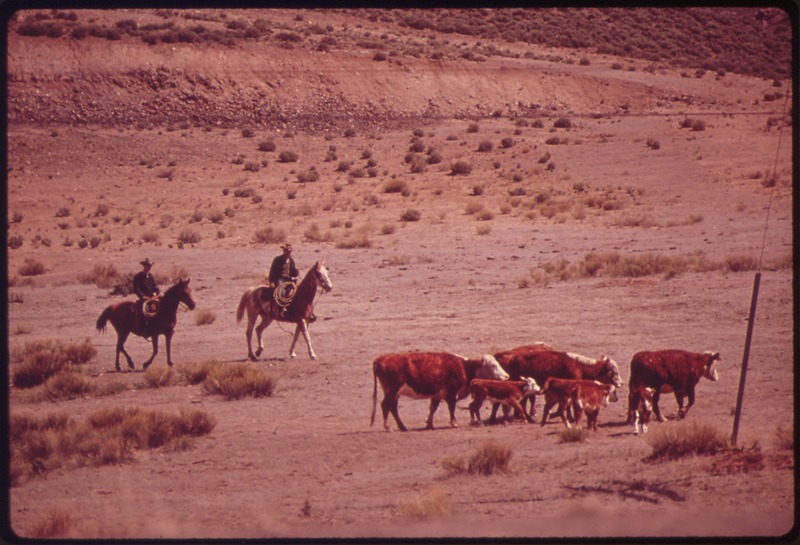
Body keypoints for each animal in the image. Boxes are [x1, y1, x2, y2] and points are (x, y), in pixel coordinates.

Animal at [368, 350, 506, 432]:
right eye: (493, 365)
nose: (506, 376)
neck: (463, 367)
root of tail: (380, 359)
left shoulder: (438, 394)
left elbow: (433, 408)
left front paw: (429, 424)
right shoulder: (451, 393)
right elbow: (451, 407)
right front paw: (454, 423)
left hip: (394, 394)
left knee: (392, 408)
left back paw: (402, 427)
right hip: (391, 391)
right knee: (385, 405)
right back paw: (388, 427)